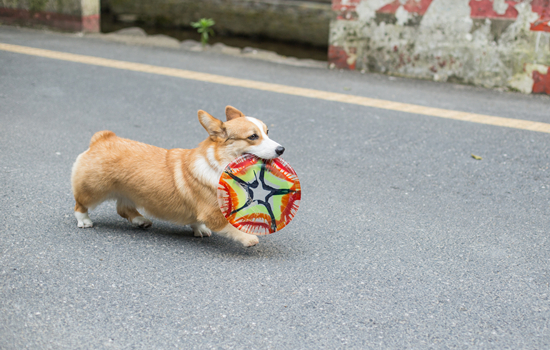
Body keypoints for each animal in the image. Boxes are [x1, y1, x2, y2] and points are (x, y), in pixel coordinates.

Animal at [70, 106, 284, 246]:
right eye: (252, 137)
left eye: (267, 132)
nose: (281, 149)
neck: (219, 163)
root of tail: (102, 138)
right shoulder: (212, 213)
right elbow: (230, 226)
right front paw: (249, 238)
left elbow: (196, 220)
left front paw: (199, 229)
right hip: (94, 189)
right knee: (80, 204)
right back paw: (84, 221)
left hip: (128, 192)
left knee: (123, 208)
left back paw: (140, 220)